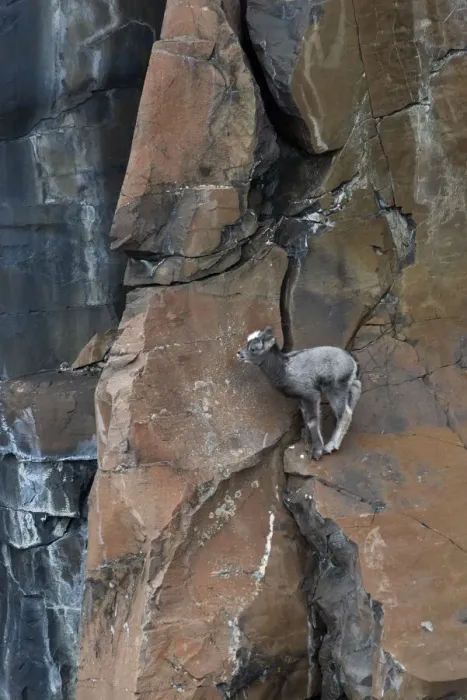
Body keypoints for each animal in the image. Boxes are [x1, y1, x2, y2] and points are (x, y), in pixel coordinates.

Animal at [237, 326, 361, 460]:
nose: (239, 353)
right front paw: (307, 439)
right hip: (345, 385)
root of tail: (351, 360)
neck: (284, 369)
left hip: (335, 389)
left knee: (345, 414)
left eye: (253, 348)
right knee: (356, 387)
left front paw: (316, 451)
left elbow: (312, 420)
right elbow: (305, 417)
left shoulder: (311, 395)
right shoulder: (301, 399)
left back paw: (330, 446)